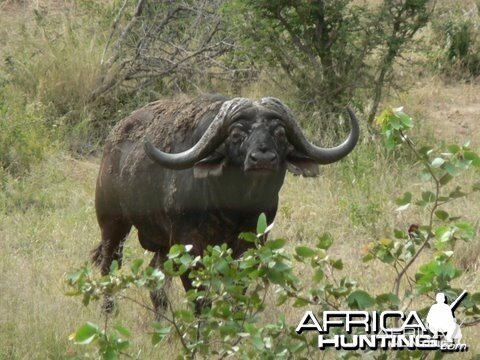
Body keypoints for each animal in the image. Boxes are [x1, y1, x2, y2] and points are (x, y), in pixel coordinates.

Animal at [91, 94, 360, 314]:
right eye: (236, 135)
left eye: (280, 134)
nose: (263, 158)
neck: (231, 207)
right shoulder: (189, 244)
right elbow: (200, 295)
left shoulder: (251, 242)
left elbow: (238, 287)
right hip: (113, 225)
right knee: (109, 266)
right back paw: (108, 312)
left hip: (163, 244)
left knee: (157, 281)